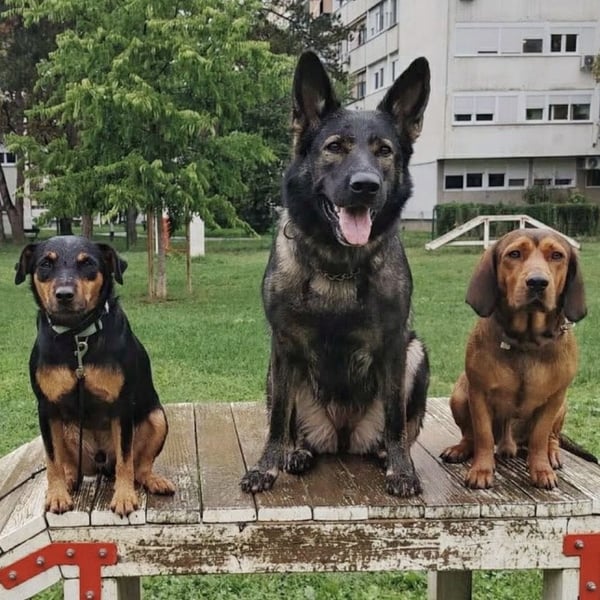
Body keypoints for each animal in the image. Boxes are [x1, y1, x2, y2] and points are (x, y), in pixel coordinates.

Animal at [15, 235, 175, 516]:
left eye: (87, 263)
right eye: (45, 264)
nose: (64, 294)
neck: (76, 337)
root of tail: (100, 463)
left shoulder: (121, 405)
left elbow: (125, 458)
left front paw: (124, 497)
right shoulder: (46, 408)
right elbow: (52, 458)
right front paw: (57, 494)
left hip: (157, 418)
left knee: (140, 466)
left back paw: (153, 480)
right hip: (68, 433)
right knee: (69, 466)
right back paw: (69, 481)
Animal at [240, 51, 431, 497]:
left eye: (384, 151)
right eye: (334, 147)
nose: (366, 185)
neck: (337, 265)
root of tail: (343, 437)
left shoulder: (395, 345)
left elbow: (396, 419)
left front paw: (402, 470)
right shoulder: (283, 345)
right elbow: (277, 421)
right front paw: (266, 467)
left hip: (417, 353)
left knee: (399, 426)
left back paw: (387, 455)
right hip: (275, 372)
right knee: (290, 422)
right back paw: (296, 451)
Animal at [440, 228, 592, 489]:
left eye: (557, 255)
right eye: (514, 254)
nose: (537, 282)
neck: (526, 340)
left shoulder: (554, 398)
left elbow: (540, 437)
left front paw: (541, 469)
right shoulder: (478, 393)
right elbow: (482, 435)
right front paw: (481, 470)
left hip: (562, 405)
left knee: (552, 438)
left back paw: (552, 455)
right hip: (459, 395)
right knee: (471, 436)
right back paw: (462, 448)